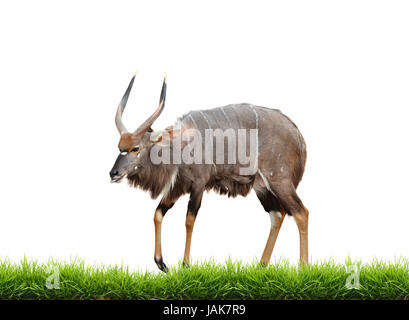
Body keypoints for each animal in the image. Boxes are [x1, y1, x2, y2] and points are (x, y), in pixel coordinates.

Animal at [110, 74, 308, 272]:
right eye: (119, 146)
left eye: (135, 148)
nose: (113, 173)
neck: (180, 143)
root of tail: (298, 136)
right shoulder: (178, 186)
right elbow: (158, 213)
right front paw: (161, 263)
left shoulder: (199, 183)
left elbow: (189, 220)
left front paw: (185, 264)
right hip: (261, 186)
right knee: (277, 215)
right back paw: (261, 266)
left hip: (279, 181)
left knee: (301, 213)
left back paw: (304, 268)